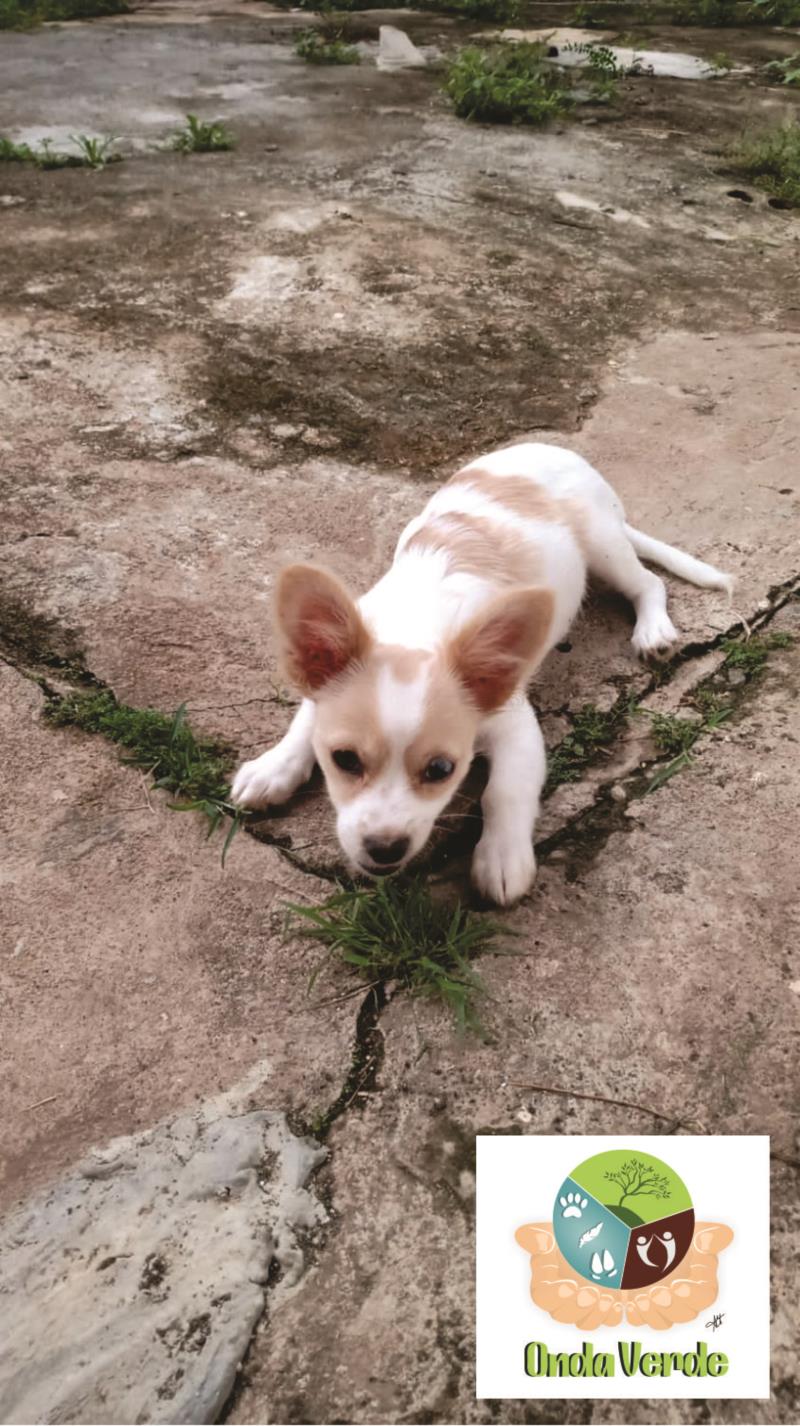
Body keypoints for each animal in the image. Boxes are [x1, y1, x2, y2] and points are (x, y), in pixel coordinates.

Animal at [232, 442, 730, 901]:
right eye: (345, 760)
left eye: (440, 770)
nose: (385, 849)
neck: (416, 626)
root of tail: (558, 450)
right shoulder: (320, 682)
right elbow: (304, 723)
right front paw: (273, 768)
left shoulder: (516, 727)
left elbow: (504, 792)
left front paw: (503, 858)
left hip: (603, 543)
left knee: (649, 582)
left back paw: (653, 629)